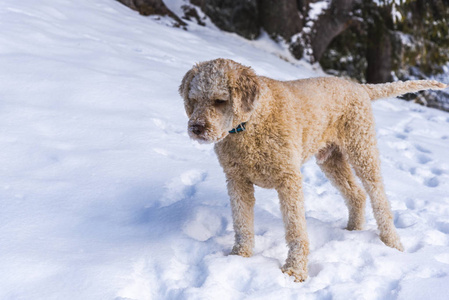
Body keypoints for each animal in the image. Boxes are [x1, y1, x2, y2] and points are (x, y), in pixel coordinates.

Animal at [178, 58, 444, 282]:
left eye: (220, 100)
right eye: (194, 99)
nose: (196, 128)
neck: (250, 123)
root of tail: (360, 87)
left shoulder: (289, 178)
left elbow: (296, 230)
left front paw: (294, 271)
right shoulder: (236, 179)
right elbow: (242, 224)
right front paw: (239, 257)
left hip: (362, 148)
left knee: (379, 198)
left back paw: (392, 243)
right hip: (331, 159)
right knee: (356, 194)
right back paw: (353, 230)